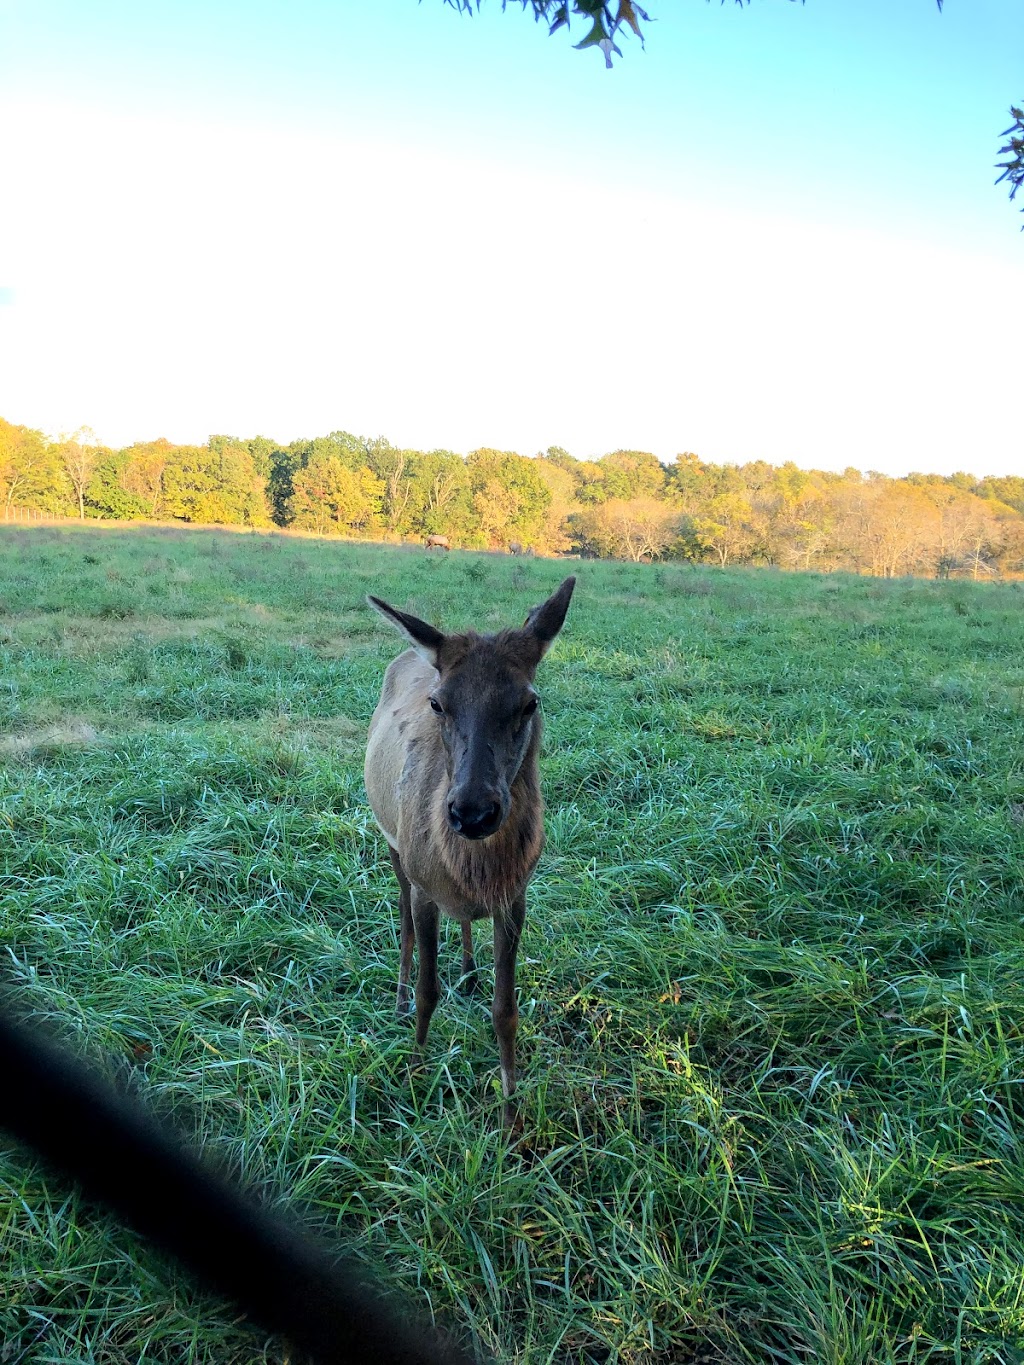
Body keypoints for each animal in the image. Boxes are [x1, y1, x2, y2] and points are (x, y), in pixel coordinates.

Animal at [365, 581, 578, 1124]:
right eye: (438, 704)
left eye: (529, 703)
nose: (473, 811)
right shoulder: (424, 882)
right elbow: (428, 991)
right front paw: (415, 1074)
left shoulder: (516, 897)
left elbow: (507, 1010)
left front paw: (510, 1109)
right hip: (392, 843)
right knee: (401, 916)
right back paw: (398, 997)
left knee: (461, 922)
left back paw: (468, 973)